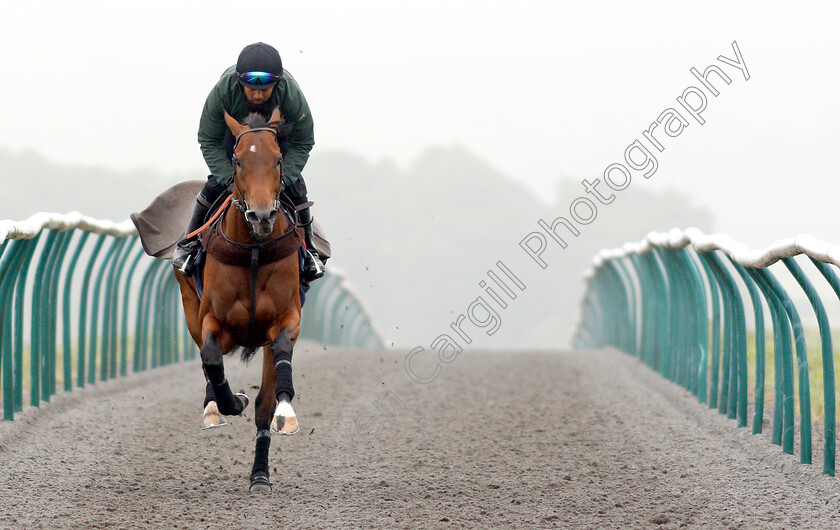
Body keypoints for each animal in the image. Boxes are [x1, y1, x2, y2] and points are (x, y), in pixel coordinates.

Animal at [174, 107, 302, 490]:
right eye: (238, 160)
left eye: (278, 160)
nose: (261, 216)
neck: (254, 251)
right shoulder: (213, 320)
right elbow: (211, 358)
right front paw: (229, 402)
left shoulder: (286, 318)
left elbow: (272, 387)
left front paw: (285, 416)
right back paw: (213, 404)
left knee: (265, 401)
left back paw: (260, 472)